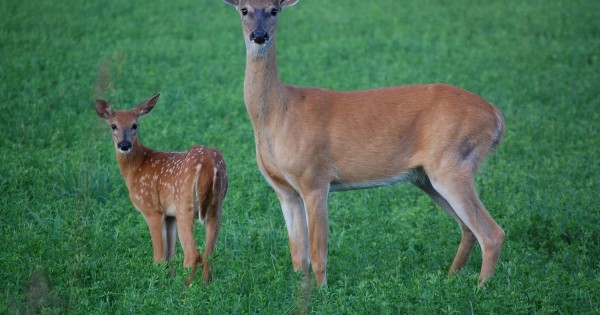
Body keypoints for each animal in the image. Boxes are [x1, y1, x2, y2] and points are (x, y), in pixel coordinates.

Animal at [96, 94, 227, 286]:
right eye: (113, 125)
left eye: (135, 125)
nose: (124, 144)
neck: (136, 169)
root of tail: (209, 163)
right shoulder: (169, 215)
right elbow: (169, 256)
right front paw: (167, 280)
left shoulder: (152, 209)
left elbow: (158, 257)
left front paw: (157, 284)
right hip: (216, 206)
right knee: (208, 255)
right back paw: (205, 286)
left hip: (184, 204)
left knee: (192, 255)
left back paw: (185, 288)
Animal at [225, 0, 506, 286]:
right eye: (244, 10)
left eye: (274, 10)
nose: (259, 36)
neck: (278, 114)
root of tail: (496, 116)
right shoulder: (284, 190)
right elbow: (298, 256)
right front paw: (300, 290)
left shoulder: (314, 179)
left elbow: (318, 254)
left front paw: (322, 291)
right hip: (426, 177)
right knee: (467, 229)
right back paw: (450, 279)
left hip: (452, 163)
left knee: (492, 233)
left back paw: (482, 287)